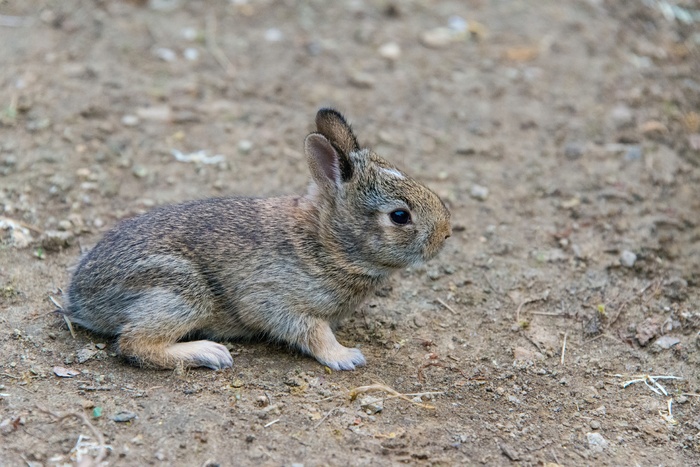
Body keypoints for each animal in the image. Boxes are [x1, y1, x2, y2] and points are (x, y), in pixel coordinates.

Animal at [61, 108, 454, 372]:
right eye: (399, 216)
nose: (446, 233)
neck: (328, 243)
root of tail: (80, 299)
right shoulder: (273, 300)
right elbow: (312, 330)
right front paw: (346, 357)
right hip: (178, 289)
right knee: (133, 343)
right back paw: (210, 353)